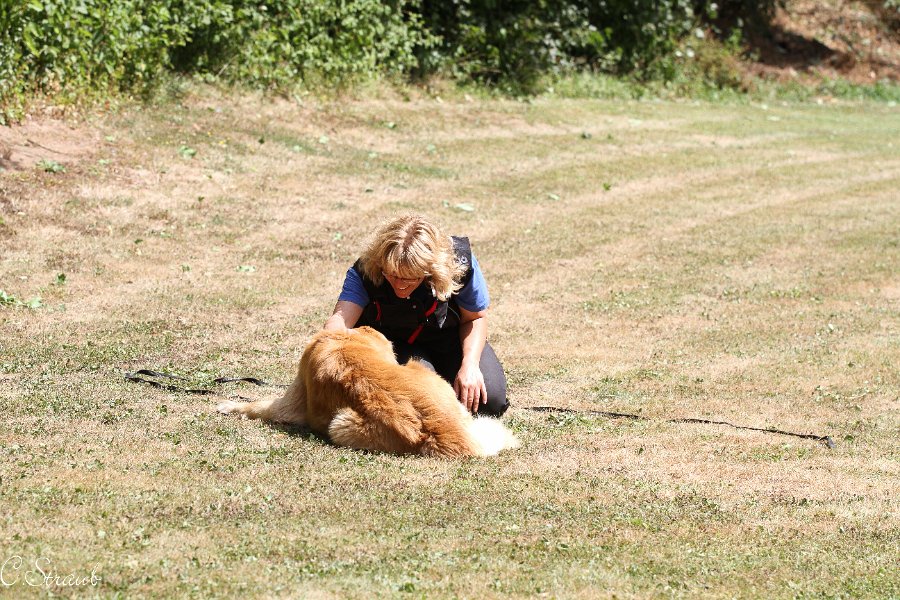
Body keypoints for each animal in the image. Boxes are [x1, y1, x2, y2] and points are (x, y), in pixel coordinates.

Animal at [216, 326, 519, 457]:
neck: (345, 337)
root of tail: (449, 433)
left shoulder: (293, 399)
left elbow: (259, 405)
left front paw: (228, 405)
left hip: (340, 424)